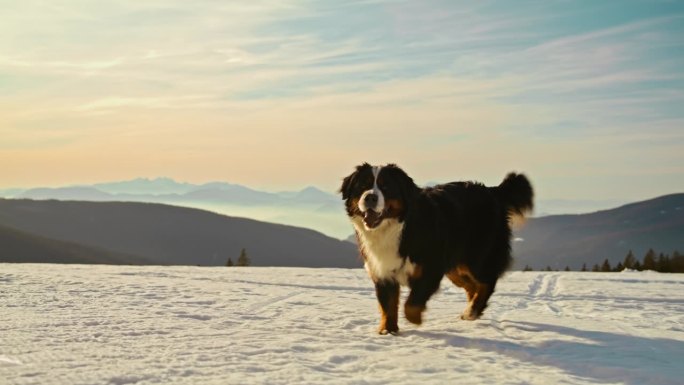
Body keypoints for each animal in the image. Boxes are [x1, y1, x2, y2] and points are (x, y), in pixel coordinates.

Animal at [340, 162, 532, 332]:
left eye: (386, 187)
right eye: (362, 186)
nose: (370, 197)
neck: (397, 227)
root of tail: (492, 191)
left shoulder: (430, 267)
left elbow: (411, 304)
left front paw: (414, 320)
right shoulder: (382, 270)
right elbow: (388, 305)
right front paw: (387, 330)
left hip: (478, 257)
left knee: (486, 282)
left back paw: (473, 310)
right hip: (455, 267)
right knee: (472, 285)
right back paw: (471, 309)